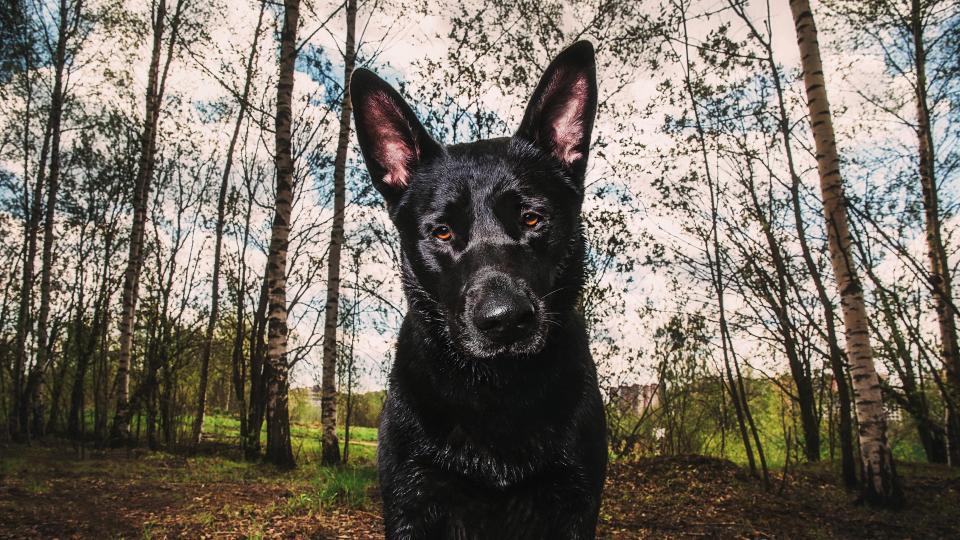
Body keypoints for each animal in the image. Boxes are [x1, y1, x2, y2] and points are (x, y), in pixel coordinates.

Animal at [350, 40, 608, 536]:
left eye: (532, 219)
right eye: (442, 232)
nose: (505, 320)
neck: (496, 391)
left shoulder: (575, 504)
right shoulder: (411, 501)